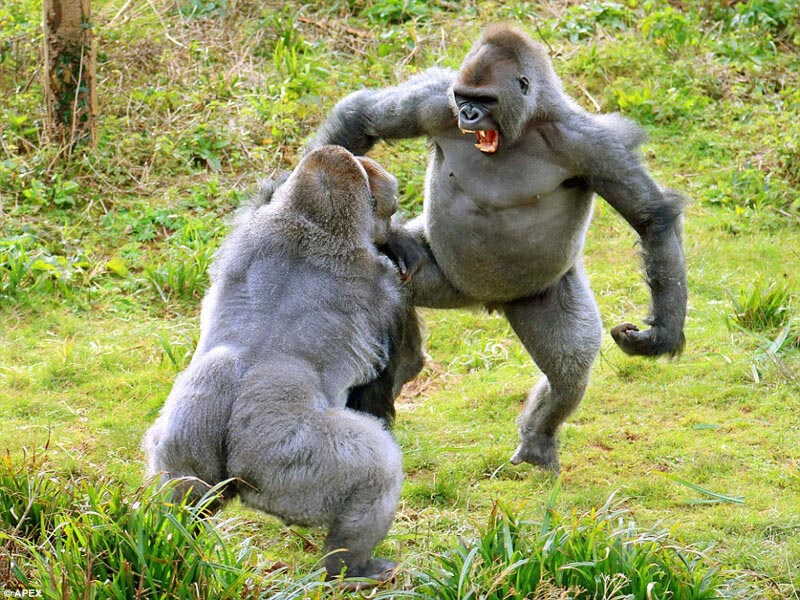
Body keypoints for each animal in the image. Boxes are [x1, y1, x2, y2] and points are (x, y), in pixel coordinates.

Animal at [145, 146, 422, 584]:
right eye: (390, 209)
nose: (389, 226)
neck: (315, 223)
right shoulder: (389, 290)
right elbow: (393, 379)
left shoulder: (250, 225)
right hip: (289, 464)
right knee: (377, 469)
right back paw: (349, 566)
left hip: (180, 446)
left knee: (177, 504)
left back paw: (169, 543)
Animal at [308, 24, 688, 474]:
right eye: (464, 98)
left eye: (485, 100)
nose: (468, 116)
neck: (523, 126)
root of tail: (485, 302)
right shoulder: (435, 101)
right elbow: (363, 116)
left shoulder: (592, 143)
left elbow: (650, 218)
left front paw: (662, 333)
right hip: (446, 280)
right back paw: (405, 357)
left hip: (536, 294)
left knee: (568, 370)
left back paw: (537, 439)